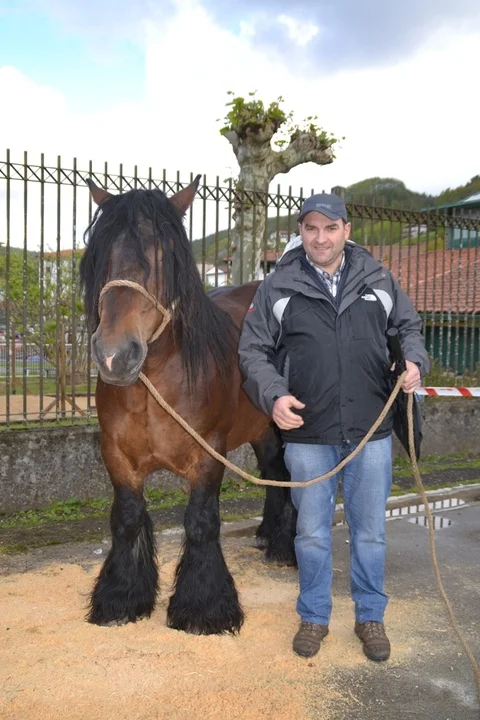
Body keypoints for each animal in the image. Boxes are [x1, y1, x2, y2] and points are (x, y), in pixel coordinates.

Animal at [79, 176, 297, 635]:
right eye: (101, 255)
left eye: (163, 256)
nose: (113, 355)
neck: (155, 384)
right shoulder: (116, 454)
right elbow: (127, 518)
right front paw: (121, 598)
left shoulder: (209, 452)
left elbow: (200, 523)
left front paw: (203, 609)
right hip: (262, 429)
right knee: (274, 472)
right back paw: (269, 536)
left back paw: (287, 548)